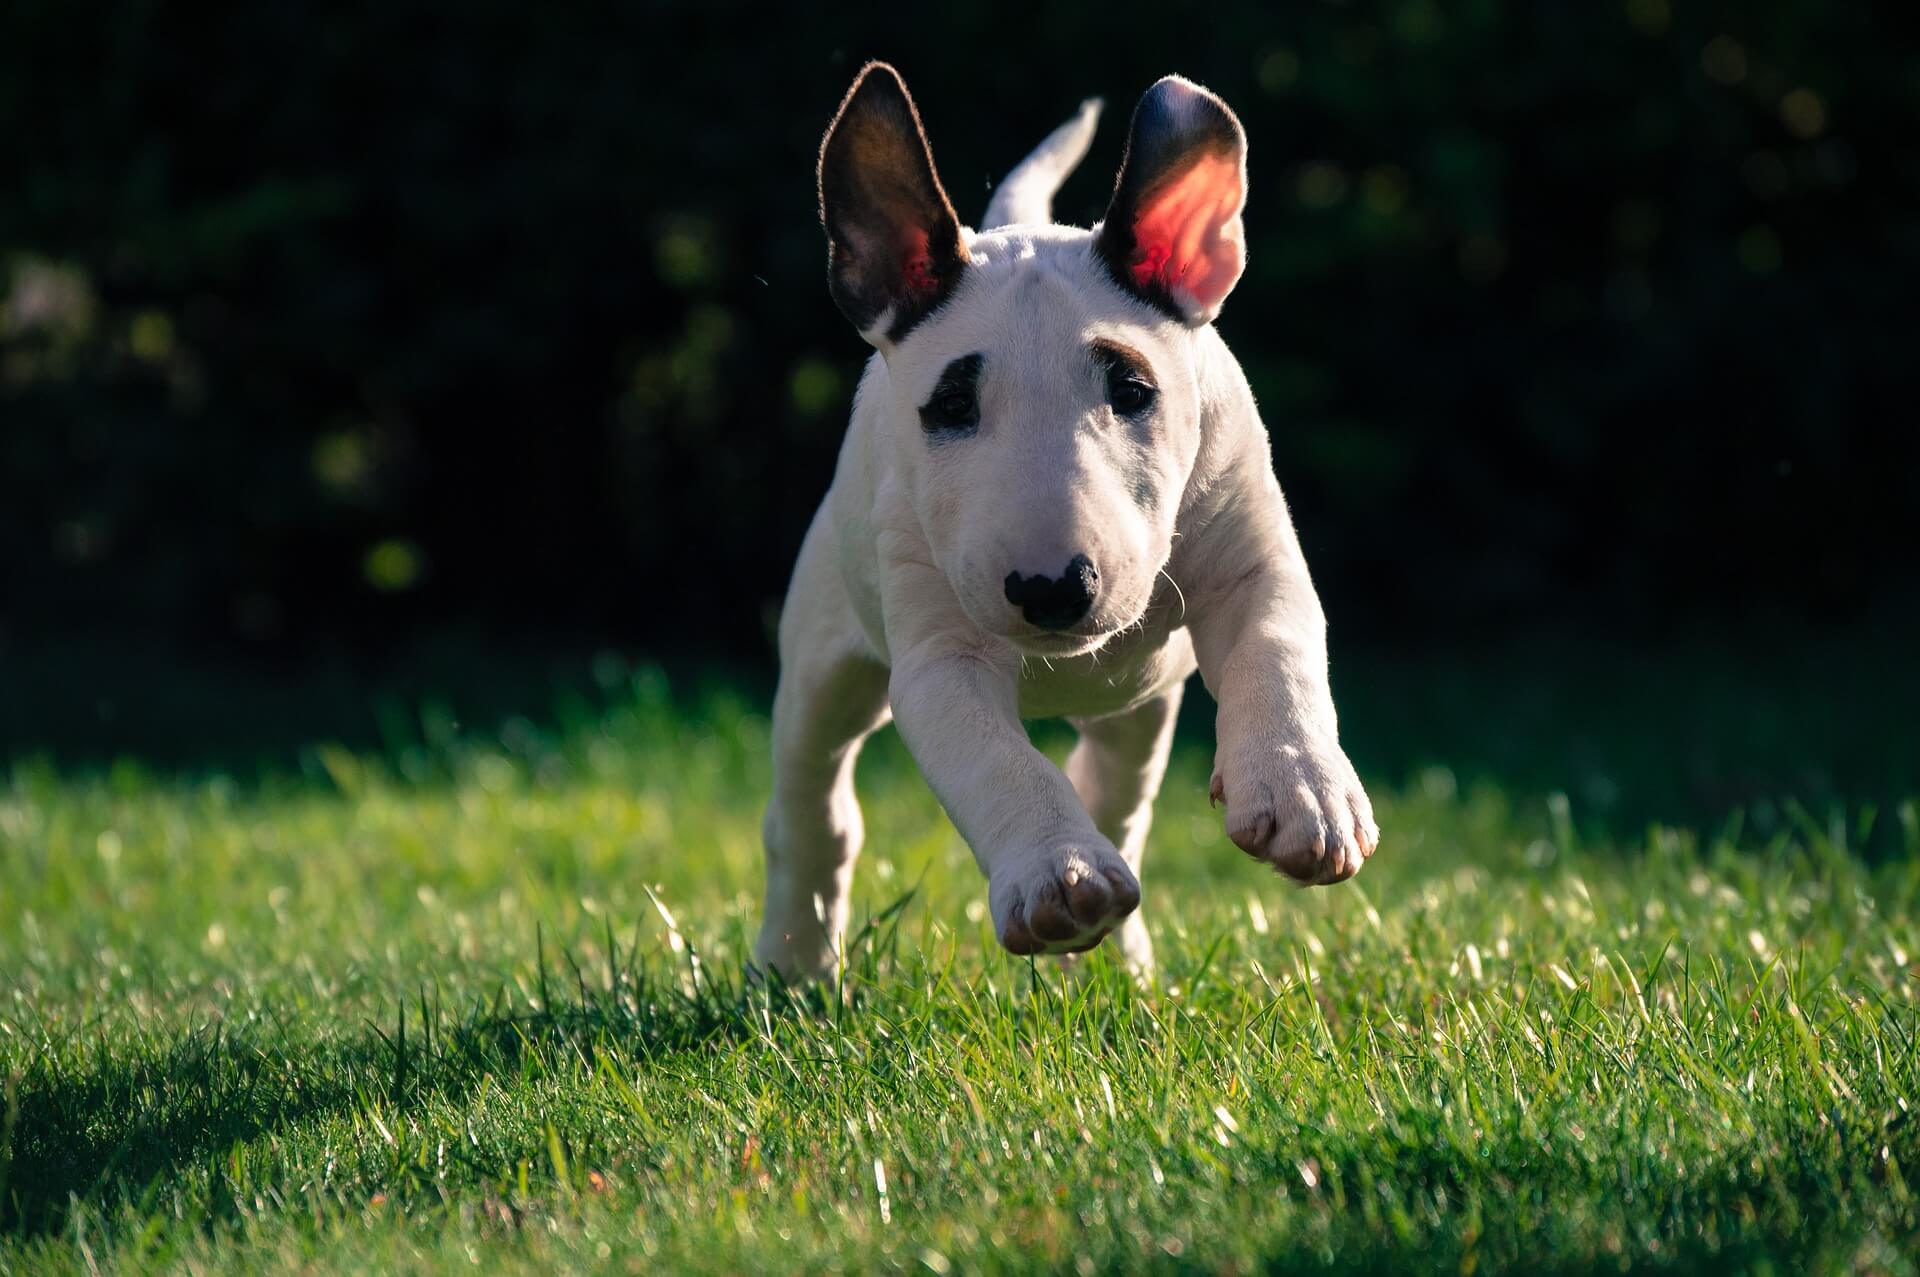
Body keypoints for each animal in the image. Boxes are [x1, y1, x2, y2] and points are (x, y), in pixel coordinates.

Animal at [752, 62, 1382, 975]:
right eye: (952, 406)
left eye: (1132, 390)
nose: (1053, 589)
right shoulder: (940, 654)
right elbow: (999, 762)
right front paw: (1059, 875)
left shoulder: (1252, 556)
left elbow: (1279, 649)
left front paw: (1305, 791)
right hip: (821, 655)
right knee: (811, 806)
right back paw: (792, 958)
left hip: (1139, 705)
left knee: (1117, 786)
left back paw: (1120, 960)